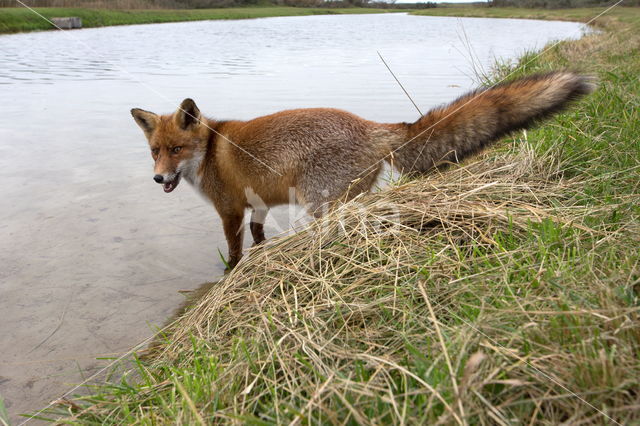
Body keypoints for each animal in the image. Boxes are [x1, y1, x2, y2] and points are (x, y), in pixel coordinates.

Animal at [131, 70, 596, 270]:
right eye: (155, 152)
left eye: (176, 149)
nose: (158, 178)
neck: (209, 150)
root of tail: (373, 126)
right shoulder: (257, 205)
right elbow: (260, 236)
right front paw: (260, 256)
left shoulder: (229, 211)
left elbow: (233, 249)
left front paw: (230, 273)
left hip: (320, 203)